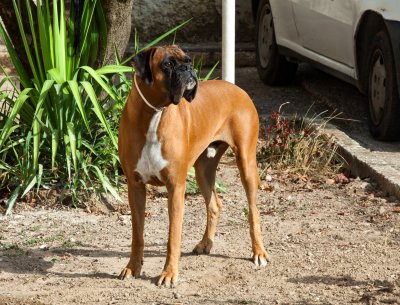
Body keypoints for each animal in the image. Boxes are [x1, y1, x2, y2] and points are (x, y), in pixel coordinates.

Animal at [117, 44, 270, 284]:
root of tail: (236, 88)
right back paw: (206, 243)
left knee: (253, 211)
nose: (188, 69)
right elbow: (137, 234)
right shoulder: (135, 187)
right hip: (203, 170)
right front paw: (133, 267)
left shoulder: (175, 187)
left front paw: (169, 273)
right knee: (215, 204)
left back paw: (259, 252)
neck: (154, 113)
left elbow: (173, 236)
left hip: (246, 163)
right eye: (168, 64)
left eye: (188, 60)